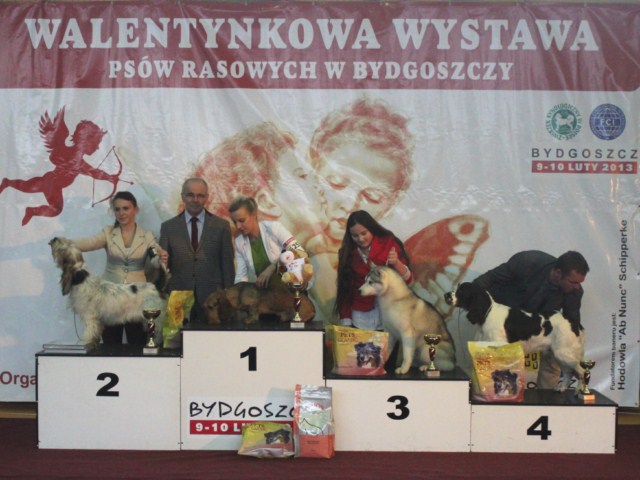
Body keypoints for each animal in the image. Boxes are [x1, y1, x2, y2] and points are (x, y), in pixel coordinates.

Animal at [444, 282, 585, 392]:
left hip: (564, 353)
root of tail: (574, 322)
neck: (487, 313)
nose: (446, 295)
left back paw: (581, 393)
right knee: (568, 372)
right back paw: (562, 388)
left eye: (462, 290)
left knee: (582, 372)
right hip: (558, 354)